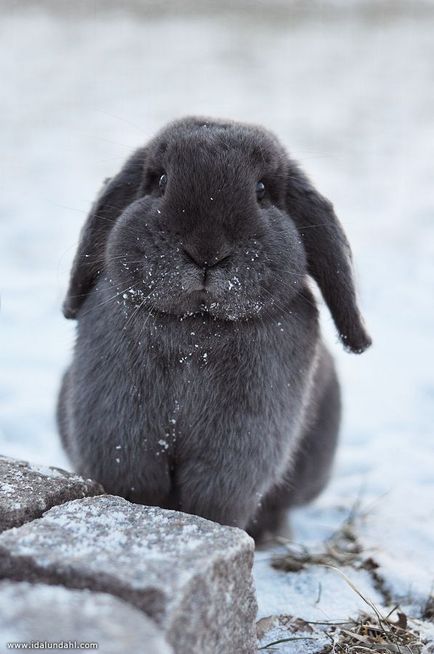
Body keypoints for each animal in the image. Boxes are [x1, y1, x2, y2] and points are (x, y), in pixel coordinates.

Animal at [56, 116, 370, 544]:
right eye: (160, 181)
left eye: (261, 191)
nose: (206, 251)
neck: (197, 328)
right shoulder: (120, 435)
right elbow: (135, 487)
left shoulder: (237, 455)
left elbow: (213, 504)